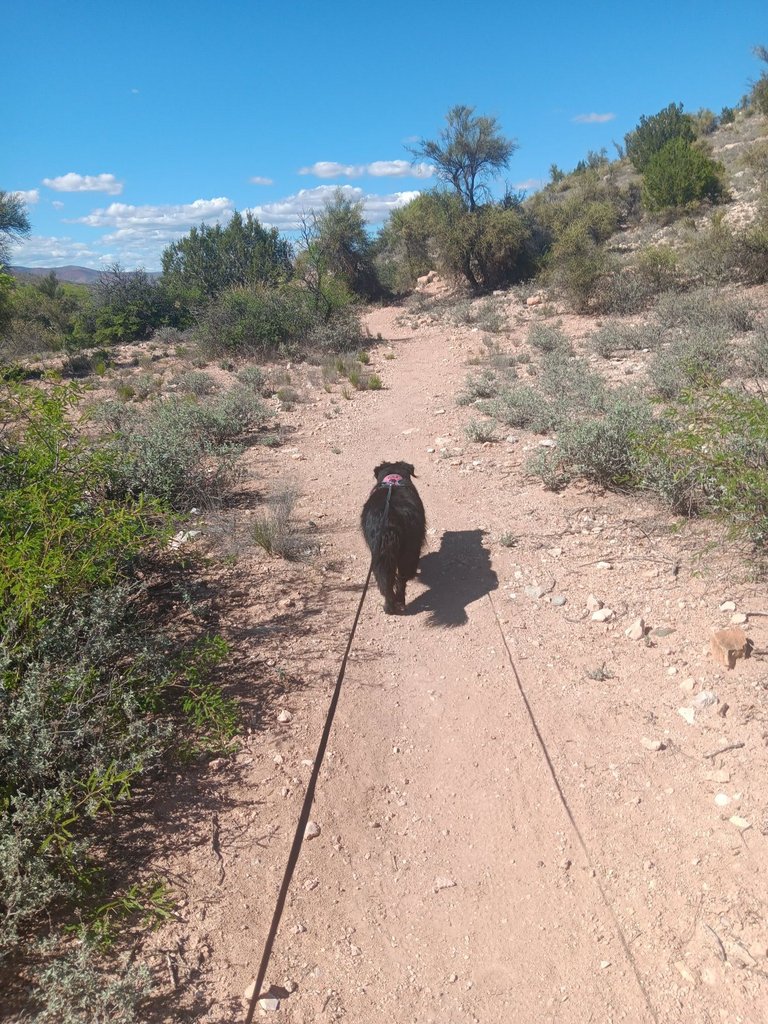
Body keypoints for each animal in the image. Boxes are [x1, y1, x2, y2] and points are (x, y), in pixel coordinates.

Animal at [361, 461, 426, 615]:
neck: (393, 481)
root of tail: (391, 519)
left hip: (383, 557)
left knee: (389, 582)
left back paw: (390, 607)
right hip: (405, 552)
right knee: (398, 580)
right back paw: (397, 604)